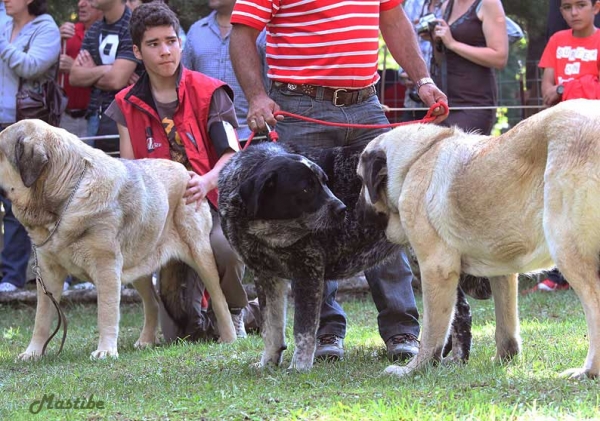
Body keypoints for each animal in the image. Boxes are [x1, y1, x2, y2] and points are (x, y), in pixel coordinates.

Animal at [0, 120, 236, 360]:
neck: (66, 194)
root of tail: (187, 172)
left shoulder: (106, 265)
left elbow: (106, 309)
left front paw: (105, 350)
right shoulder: (48, 272)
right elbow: (42, 317)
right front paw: (33, 353)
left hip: (200, 253)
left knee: (220, 298)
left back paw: (230, 337)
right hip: (138, 264)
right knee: (152, 302)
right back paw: (145, 340)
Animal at [358, 99, 600, 380]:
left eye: (360, 181)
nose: (354, 209)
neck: (415, 160)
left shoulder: (436, 268)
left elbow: (432, 329)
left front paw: (415, 367)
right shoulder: (502, 268)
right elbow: (505, 324)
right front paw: (504, 358)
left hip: (565, 244)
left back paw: (588, 370)